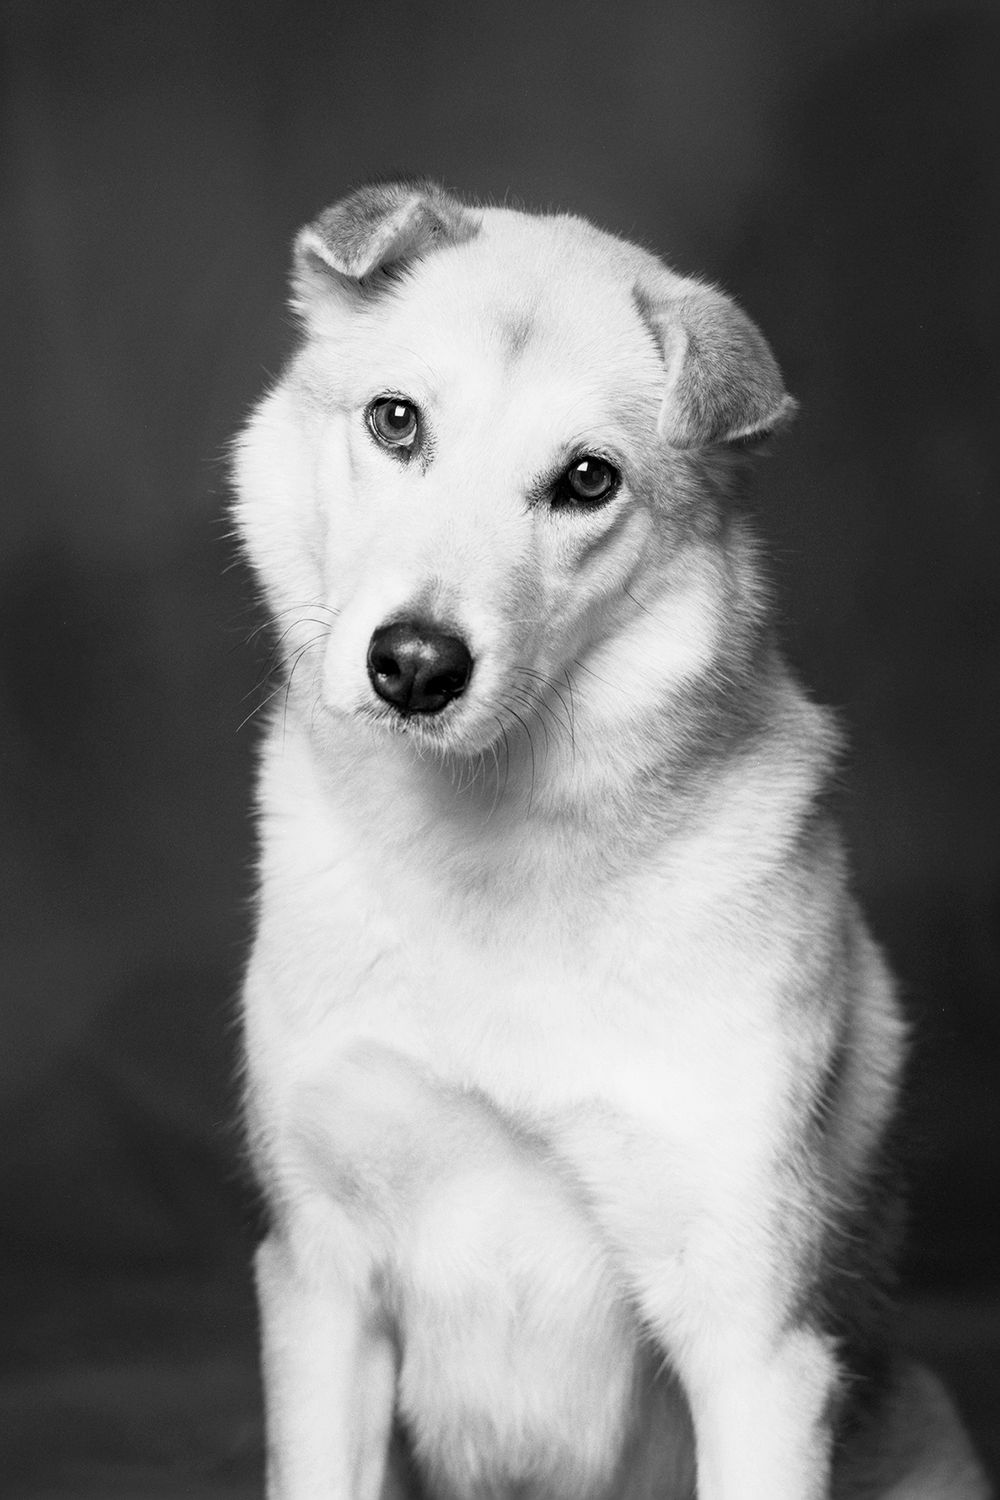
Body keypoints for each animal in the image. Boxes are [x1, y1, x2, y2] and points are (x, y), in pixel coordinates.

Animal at [230, 178, 989, 1500]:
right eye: (395, 422)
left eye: (587, 481)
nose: (413, 665)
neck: (486, 849)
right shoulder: (322, 1285)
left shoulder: (752, 1342)